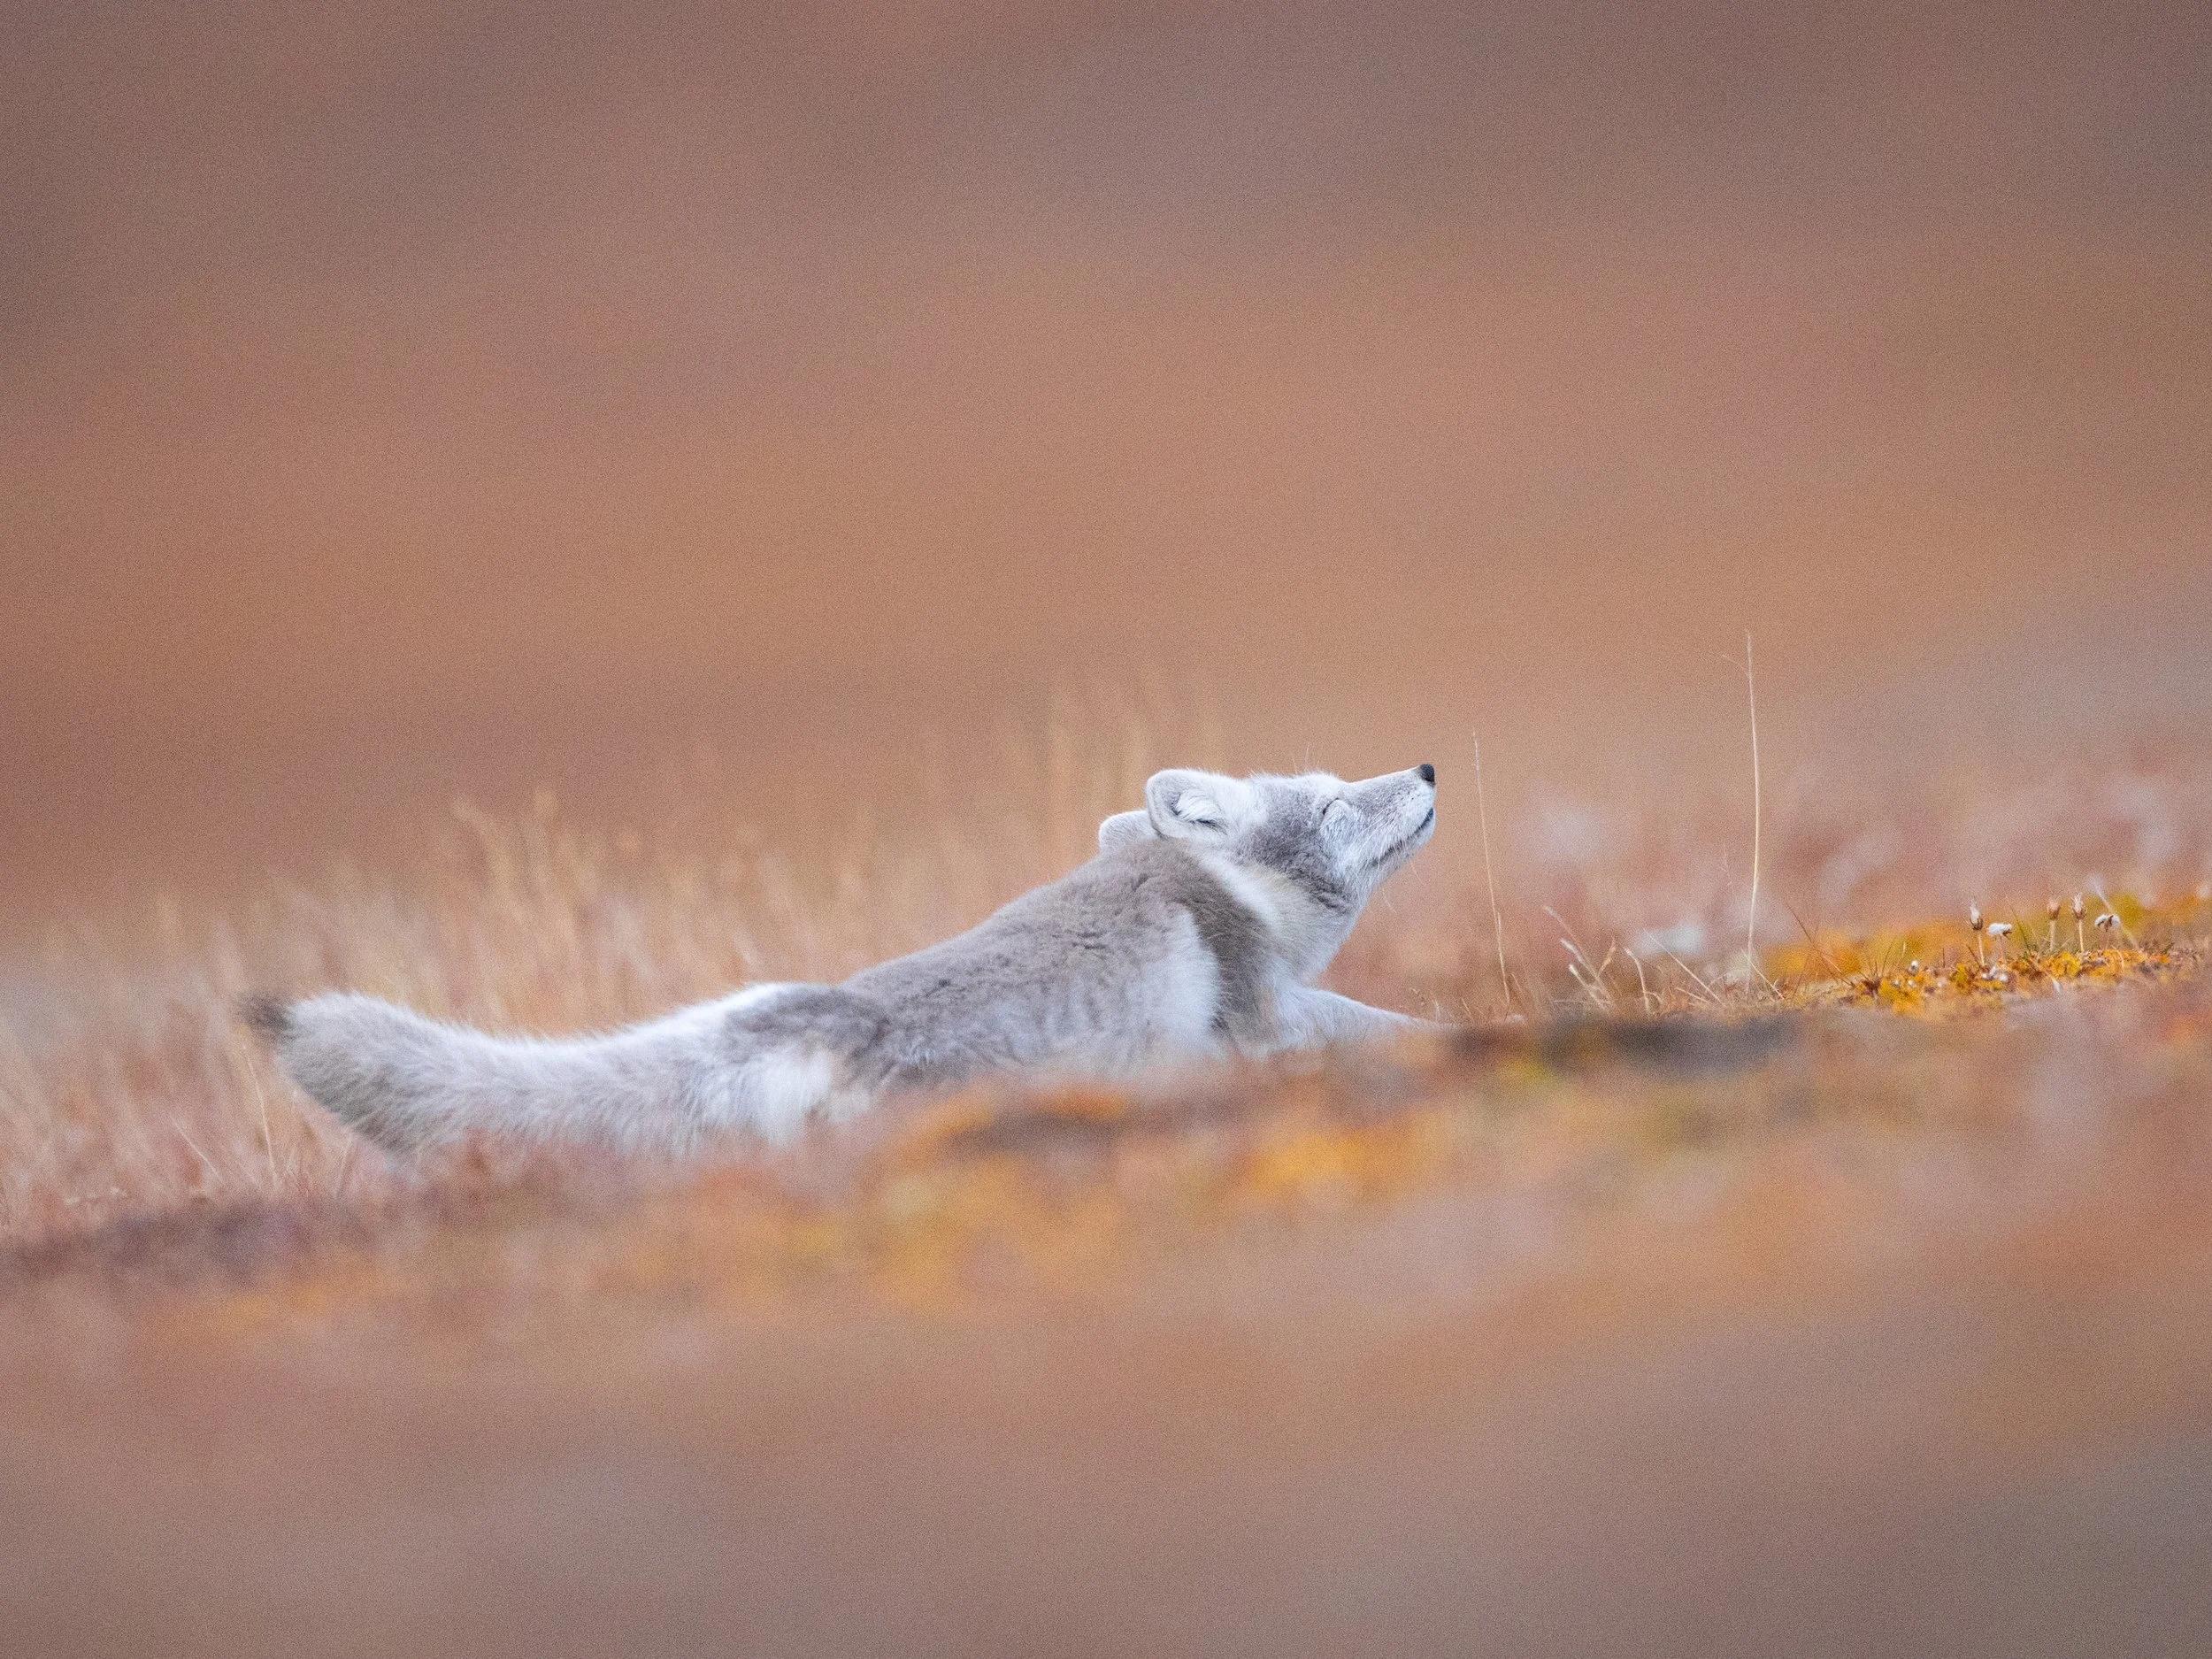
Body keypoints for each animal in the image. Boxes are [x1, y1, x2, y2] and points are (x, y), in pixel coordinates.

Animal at [245, 763, 1444, 1153]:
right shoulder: (1262, 1012)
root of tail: (816, 1012)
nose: (1430, 768)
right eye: (1331, 803)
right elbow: (1378, 1029)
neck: (1214, 886)